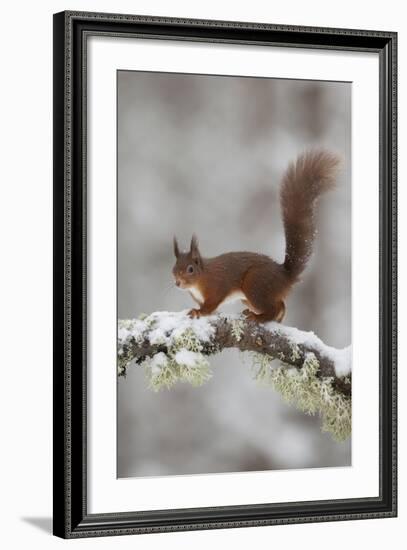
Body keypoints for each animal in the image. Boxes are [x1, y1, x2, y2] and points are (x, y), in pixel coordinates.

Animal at [172, 149, 342, 326]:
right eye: (174, 268)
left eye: (190, 269)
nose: (177, 282)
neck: (201, 277)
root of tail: (284, 277)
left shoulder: (217, 287)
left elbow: (210, 305)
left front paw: (198, 312)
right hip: (250, 296)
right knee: (280, 304)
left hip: (255, 284)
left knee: (273, 307)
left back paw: (258, 317)